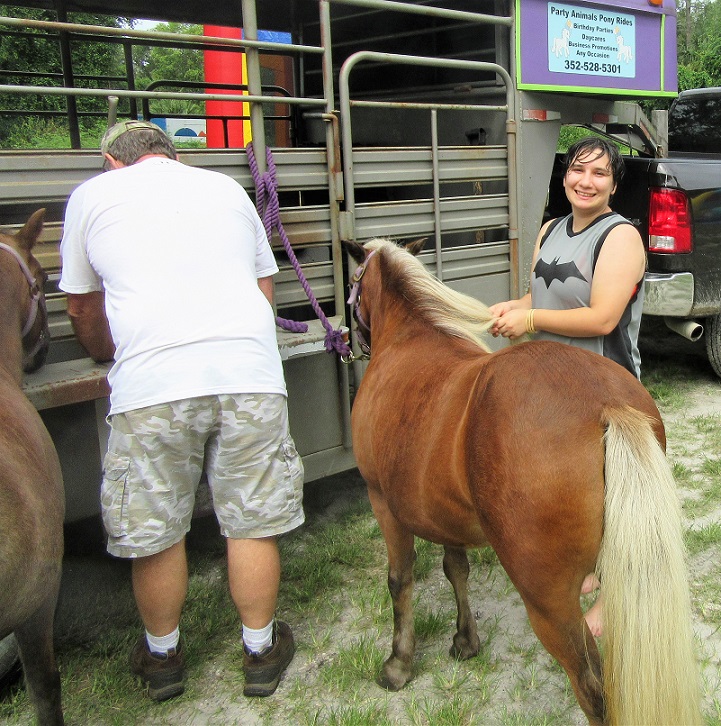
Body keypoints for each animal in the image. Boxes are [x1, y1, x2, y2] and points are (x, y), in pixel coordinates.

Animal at [346, 236, 700, 724]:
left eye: (353, 285)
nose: (349, 340)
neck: (408, 341)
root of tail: (608, 406)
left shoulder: (383, 502)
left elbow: (400, 581)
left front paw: (398, 664)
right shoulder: (442, 513)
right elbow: (456, 570)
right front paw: (465, 640)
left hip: (549, 603)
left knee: (593, 688)